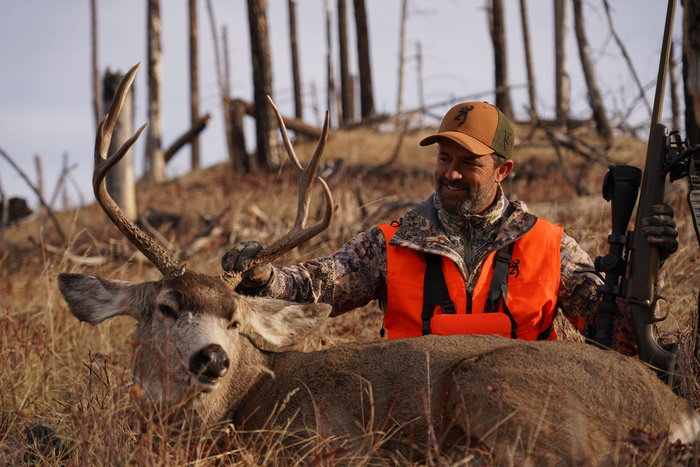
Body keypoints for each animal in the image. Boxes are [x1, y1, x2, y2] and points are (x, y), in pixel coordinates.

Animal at [57, 64, 700, 465]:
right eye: (166, 307)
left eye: (234, 320)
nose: (211, 357)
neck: (242, 406)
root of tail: (673, 412)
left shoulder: (322, 439)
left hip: (501, 389)